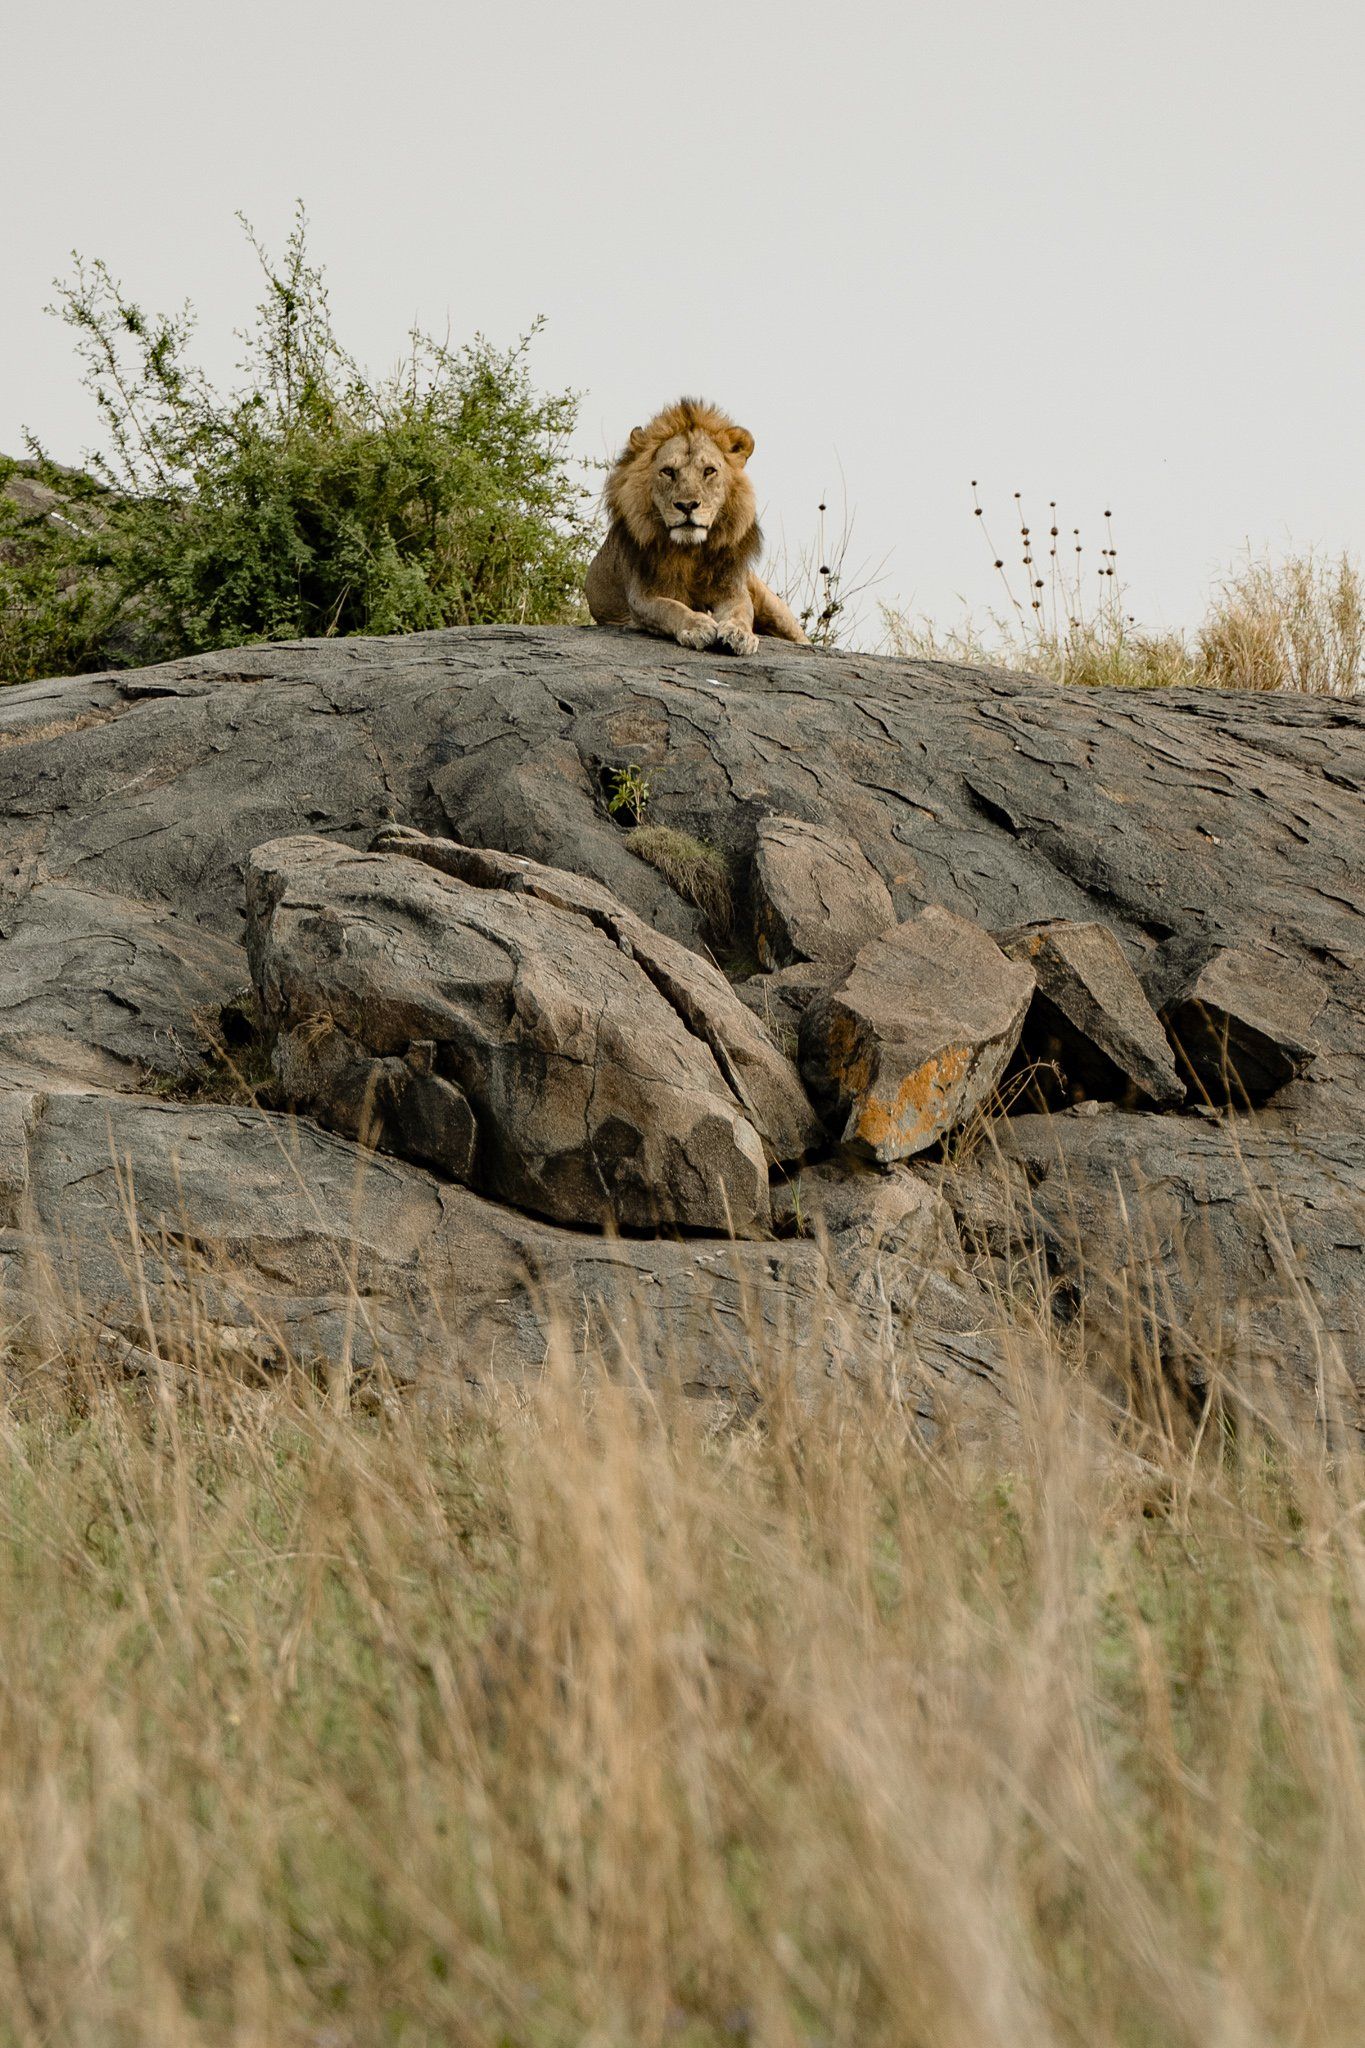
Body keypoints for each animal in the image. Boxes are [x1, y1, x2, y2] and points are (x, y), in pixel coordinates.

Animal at [584, 397, 807, 656]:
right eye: (668, 471)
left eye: (709, 471)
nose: (687, 505)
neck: (690, 551)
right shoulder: (641, 597)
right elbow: (670, 608)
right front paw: (698, 626)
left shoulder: (733, 588)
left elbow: (741, 611)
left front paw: (739, 634)